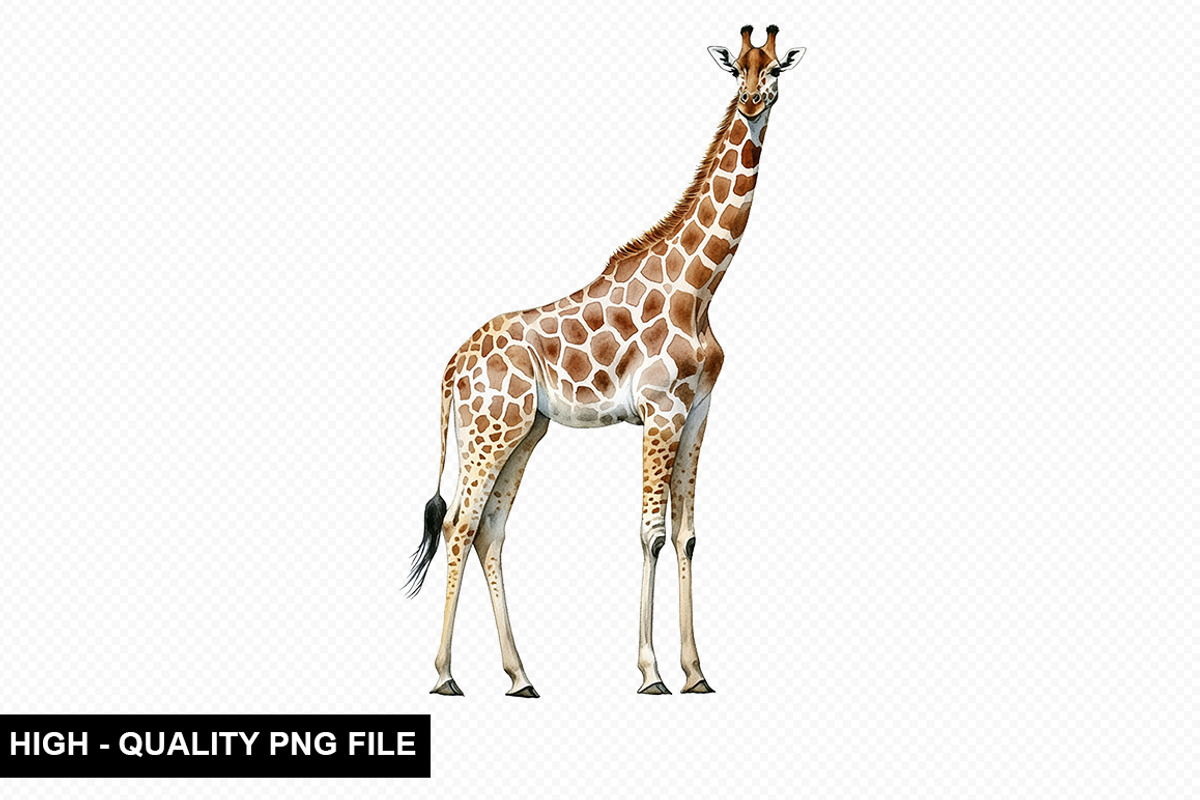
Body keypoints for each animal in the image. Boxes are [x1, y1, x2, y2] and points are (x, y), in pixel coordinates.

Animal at [406, 24, 806, 697]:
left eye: (775, 69)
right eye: (737, 71)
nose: (753, 102)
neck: (701, 288)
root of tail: (450, 370)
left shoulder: (697, 413)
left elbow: (687, 535)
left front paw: (696, 672)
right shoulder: (660, 411)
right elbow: (650, 534)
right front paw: (651, 673)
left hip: (521, 432)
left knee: (490, 531)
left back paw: (520, 676)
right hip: (492, 431)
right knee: (460, 524)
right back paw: (444, 676)